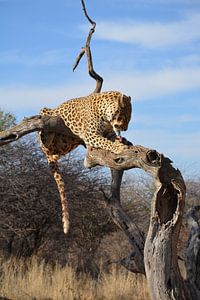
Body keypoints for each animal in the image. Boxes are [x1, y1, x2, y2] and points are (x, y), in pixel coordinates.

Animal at [38, 91, 133, 234]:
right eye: (126, 116)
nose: (125, 129)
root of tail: (49, 155)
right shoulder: (90, 134)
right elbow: (106, 142)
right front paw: (119, 147)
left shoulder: (106, 133)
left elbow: (109, 138)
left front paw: (121, 141)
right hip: (45, 116)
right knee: (43, 133)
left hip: (65, 146)